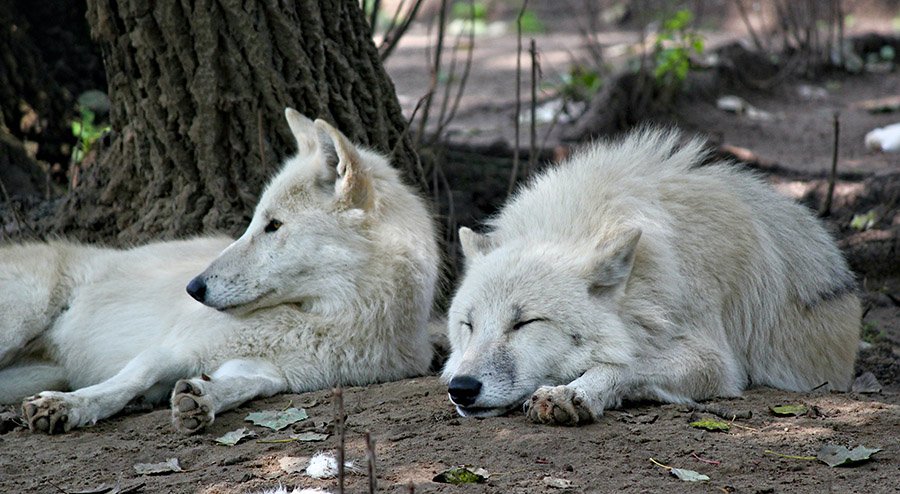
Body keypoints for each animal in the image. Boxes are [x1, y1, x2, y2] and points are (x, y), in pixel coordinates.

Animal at [0, 108, 439, 434]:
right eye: (255, 222)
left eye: (273, 226)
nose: (193, 288)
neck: (325, 319)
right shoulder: (172, 347)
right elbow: (126, 381)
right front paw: (68, 406)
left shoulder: (274, 372)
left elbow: (245, 384)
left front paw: (201, 397)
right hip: (18, 324)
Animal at [443, 129, 860, 425]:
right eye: (468, 325)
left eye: (524, 323)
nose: (461, 388)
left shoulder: (714, 359)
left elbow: (628, 363)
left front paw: (572, 393)